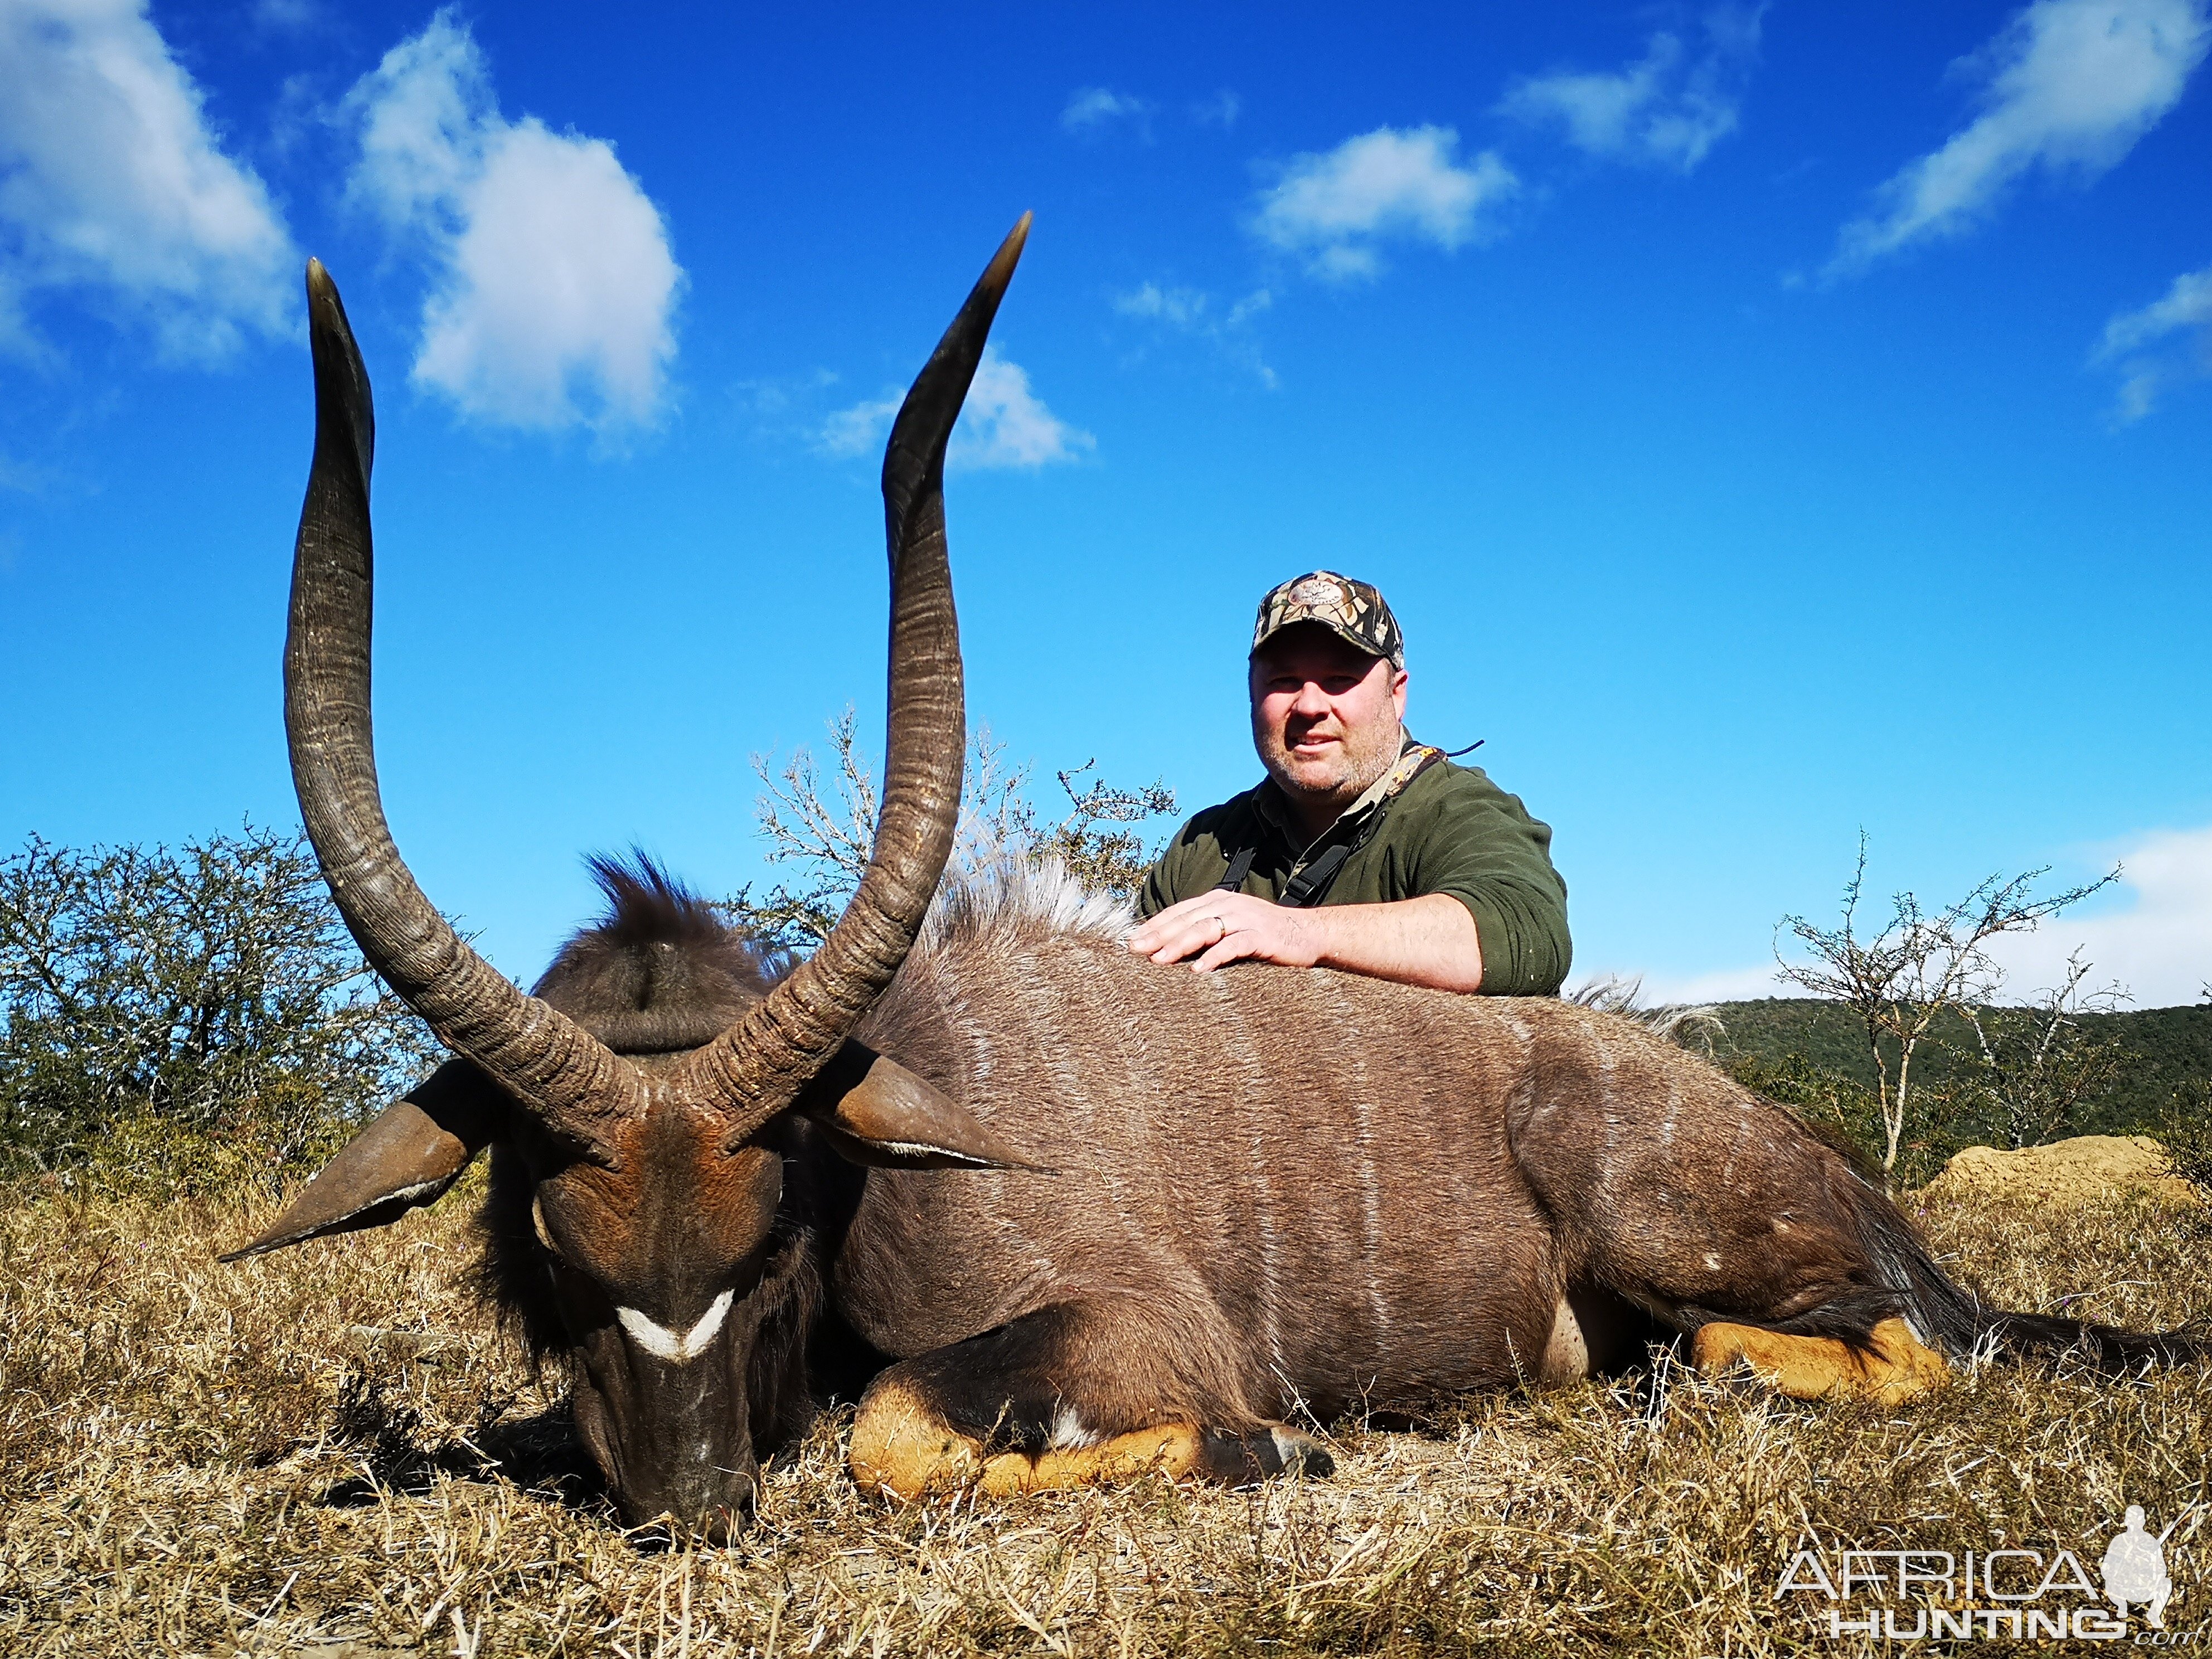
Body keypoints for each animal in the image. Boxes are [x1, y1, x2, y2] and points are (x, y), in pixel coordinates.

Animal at [233, 221, 2203, 1548]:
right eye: (556, 1246)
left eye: (774, 1227)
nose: (698, 1505)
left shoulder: (1131, 1325)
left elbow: (895, 1436)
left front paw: (1284, 1447)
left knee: (1903, 1352)